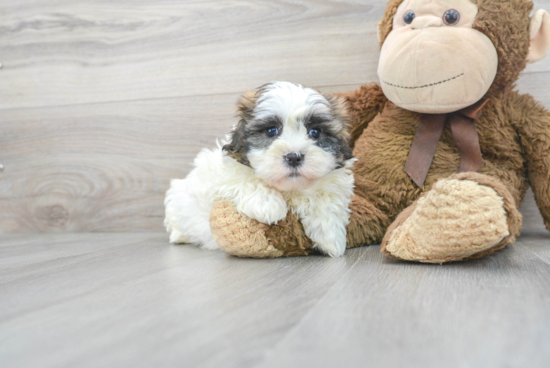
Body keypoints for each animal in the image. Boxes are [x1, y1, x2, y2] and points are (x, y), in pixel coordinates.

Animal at [164, 82, 356, 258]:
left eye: (315, 132)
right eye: (271, 131)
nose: (294, 156)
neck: (290, 189)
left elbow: (327, 197)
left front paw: (330, 235)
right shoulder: (222, 172)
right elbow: (243, 176)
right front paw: (268, 204)